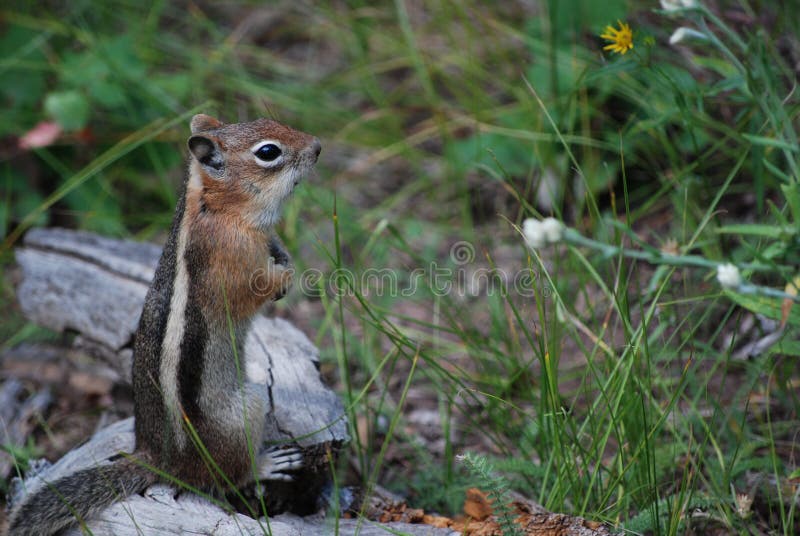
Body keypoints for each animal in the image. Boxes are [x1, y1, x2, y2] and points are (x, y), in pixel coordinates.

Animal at [6, 113, 320, 536]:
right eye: (268, 152)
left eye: (269, 120)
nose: (317, 147)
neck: (213, 208)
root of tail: (158, 460)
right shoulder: (234, 262)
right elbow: (255, 291)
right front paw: (286, 276)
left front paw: (284, 254)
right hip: (246, 410)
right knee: (229, 476)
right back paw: (268, 463)